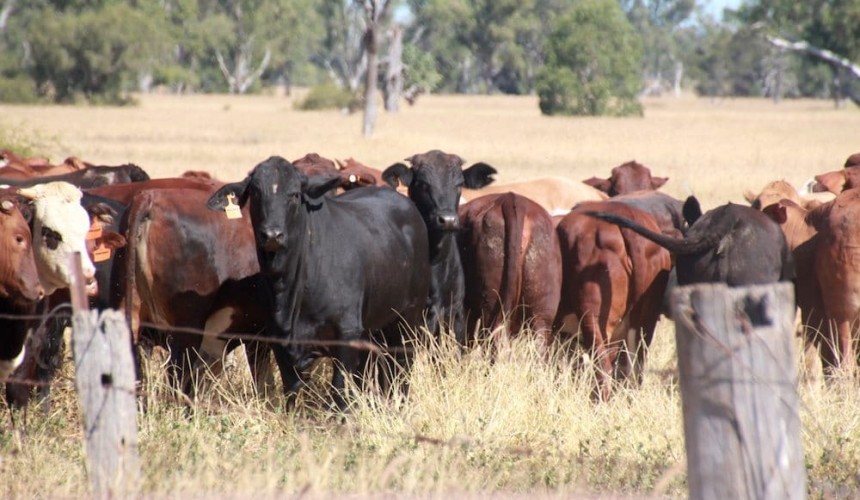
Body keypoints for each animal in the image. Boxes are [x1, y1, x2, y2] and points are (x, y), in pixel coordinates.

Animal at [208, 156, 431, 408]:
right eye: (255, 192)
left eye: (294, 194)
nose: (273, 235)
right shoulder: (280, 342)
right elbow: (292, 394)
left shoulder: (346, 336)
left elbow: (339, 393)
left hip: (407, 321)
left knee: (402, 369)